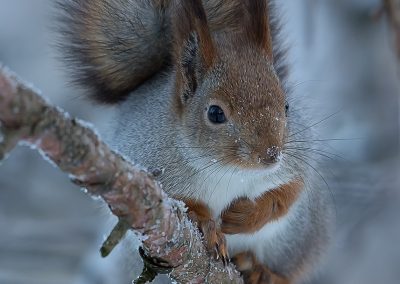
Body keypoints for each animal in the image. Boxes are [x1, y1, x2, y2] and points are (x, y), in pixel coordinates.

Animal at [58, 0, 332, 284]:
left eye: (287, 106)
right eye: (215, 113)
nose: (271, 154)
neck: (230, 171)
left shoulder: (295, 163)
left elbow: (288, 192)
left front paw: (245, 216)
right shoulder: (144, 161)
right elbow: (182, 203)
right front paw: (207, 226)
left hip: (296, 239)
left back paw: (261, 271)